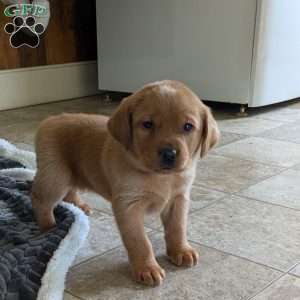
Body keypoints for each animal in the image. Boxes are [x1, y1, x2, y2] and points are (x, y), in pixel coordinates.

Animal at [30, 79, 219, 286]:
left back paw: (80, 205)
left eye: (188, 126)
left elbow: (178, 227)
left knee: (70, 189)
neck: (160, 177)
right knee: (39, 199)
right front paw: (147, 268)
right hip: (55, 177)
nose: (169, 154)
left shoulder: (179, 199)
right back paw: (49, 228)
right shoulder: (128, 205)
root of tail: (51, 119)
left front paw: (181, 250)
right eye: (147, 124)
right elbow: (140, 241)